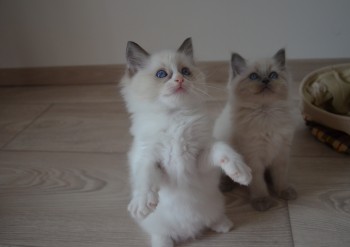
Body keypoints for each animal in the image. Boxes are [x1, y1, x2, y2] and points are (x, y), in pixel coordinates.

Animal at [120, 37, 252, 247]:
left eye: (185, 71)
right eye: (161, 74)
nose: (180, 80)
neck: (175, 118)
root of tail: (188, 232)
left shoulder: (200, 159)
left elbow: (222, 149)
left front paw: (240, 172)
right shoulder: (147, 157)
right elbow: (145, 176)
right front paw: (142, 203)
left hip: (215, 204)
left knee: (212, 219)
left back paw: (224, 225)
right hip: (157, 226)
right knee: (162, 235)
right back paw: (164, 242)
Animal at [213, 49, 296, 211]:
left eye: (273, 75)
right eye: (253, 76)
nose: (265, 80)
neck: (266, 114)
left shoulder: (282, 152)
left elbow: (281, 177)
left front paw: (283, 191)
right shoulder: (253, 156)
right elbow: (258, 182)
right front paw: (262, 200)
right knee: (223, 175)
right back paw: (226, 185)